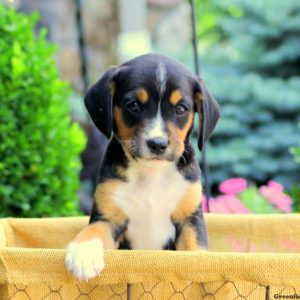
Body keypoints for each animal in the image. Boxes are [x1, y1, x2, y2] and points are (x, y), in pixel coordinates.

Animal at [65, 52, 220, 280]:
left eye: (180, 109)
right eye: (134, 105)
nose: (157, 144)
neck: (151, 174)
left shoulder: (189, 220)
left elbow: (194, 249)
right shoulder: (109, 219)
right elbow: (92, 231)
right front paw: (83, 253)